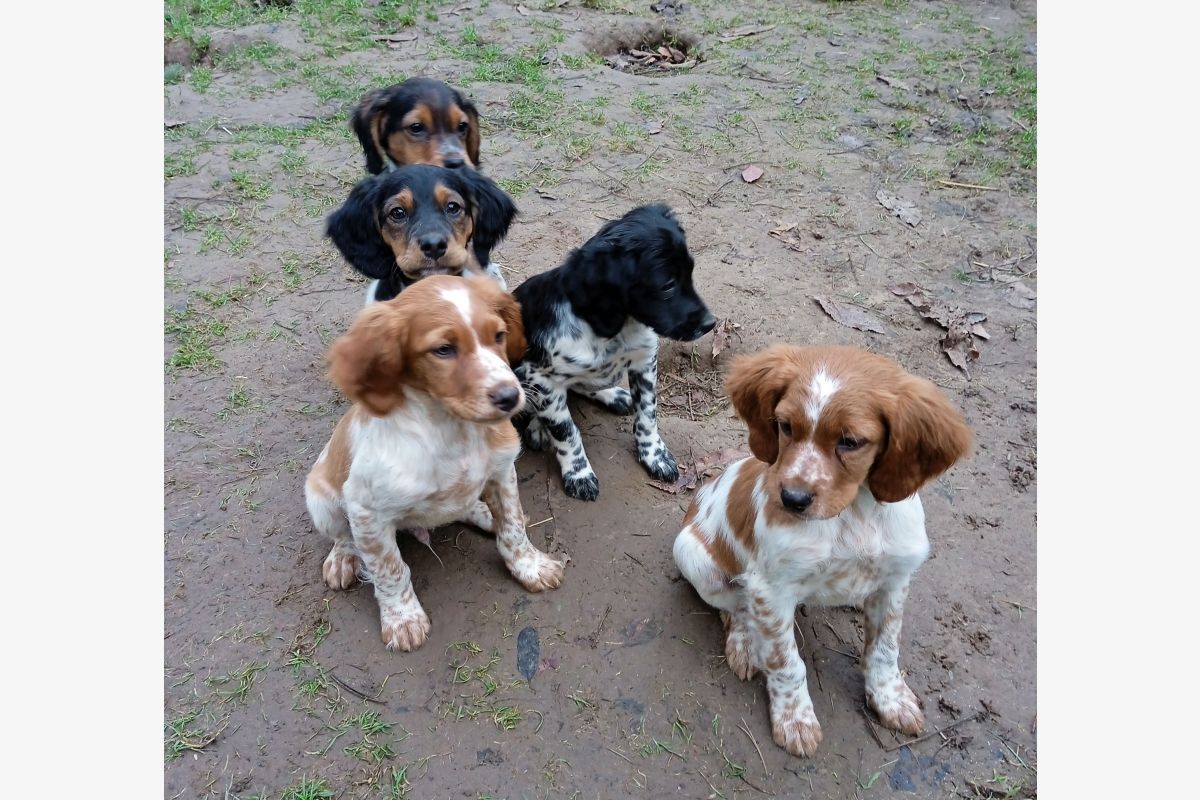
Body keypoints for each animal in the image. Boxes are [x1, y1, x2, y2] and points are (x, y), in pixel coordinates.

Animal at [300, 273, 561, 652]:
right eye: (443, 350)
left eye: (499, 335)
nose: (510, 396)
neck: (452, 429)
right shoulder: (366, 510)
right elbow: (389, 568)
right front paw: (403, 619)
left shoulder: (502, 471)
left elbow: (513, 528)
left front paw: (530, 567)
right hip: (320, 499)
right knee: (342, 535)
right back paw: (343, 558)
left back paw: (484, 513)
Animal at [513, 205, 715, 501]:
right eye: (667, 285)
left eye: (690, 273)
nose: (710, 323)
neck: (613, 329)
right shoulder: (540, 378)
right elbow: (566, 431)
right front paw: (578, 473)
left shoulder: (645, 360)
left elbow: (648, 413)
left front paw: (655, 455)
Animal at [672, 345, 969, 758]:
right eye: (785, 426)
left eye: (851, 441)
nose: (791, 499)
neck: (853, 513)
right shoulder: (771, 588)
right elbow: (785, 661)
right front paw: (795, 720)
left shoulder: (895, 580)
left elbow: (885, 648)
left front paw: (891, 699)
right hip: (695, 558)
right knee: (734, 608)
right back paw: (745, 643)